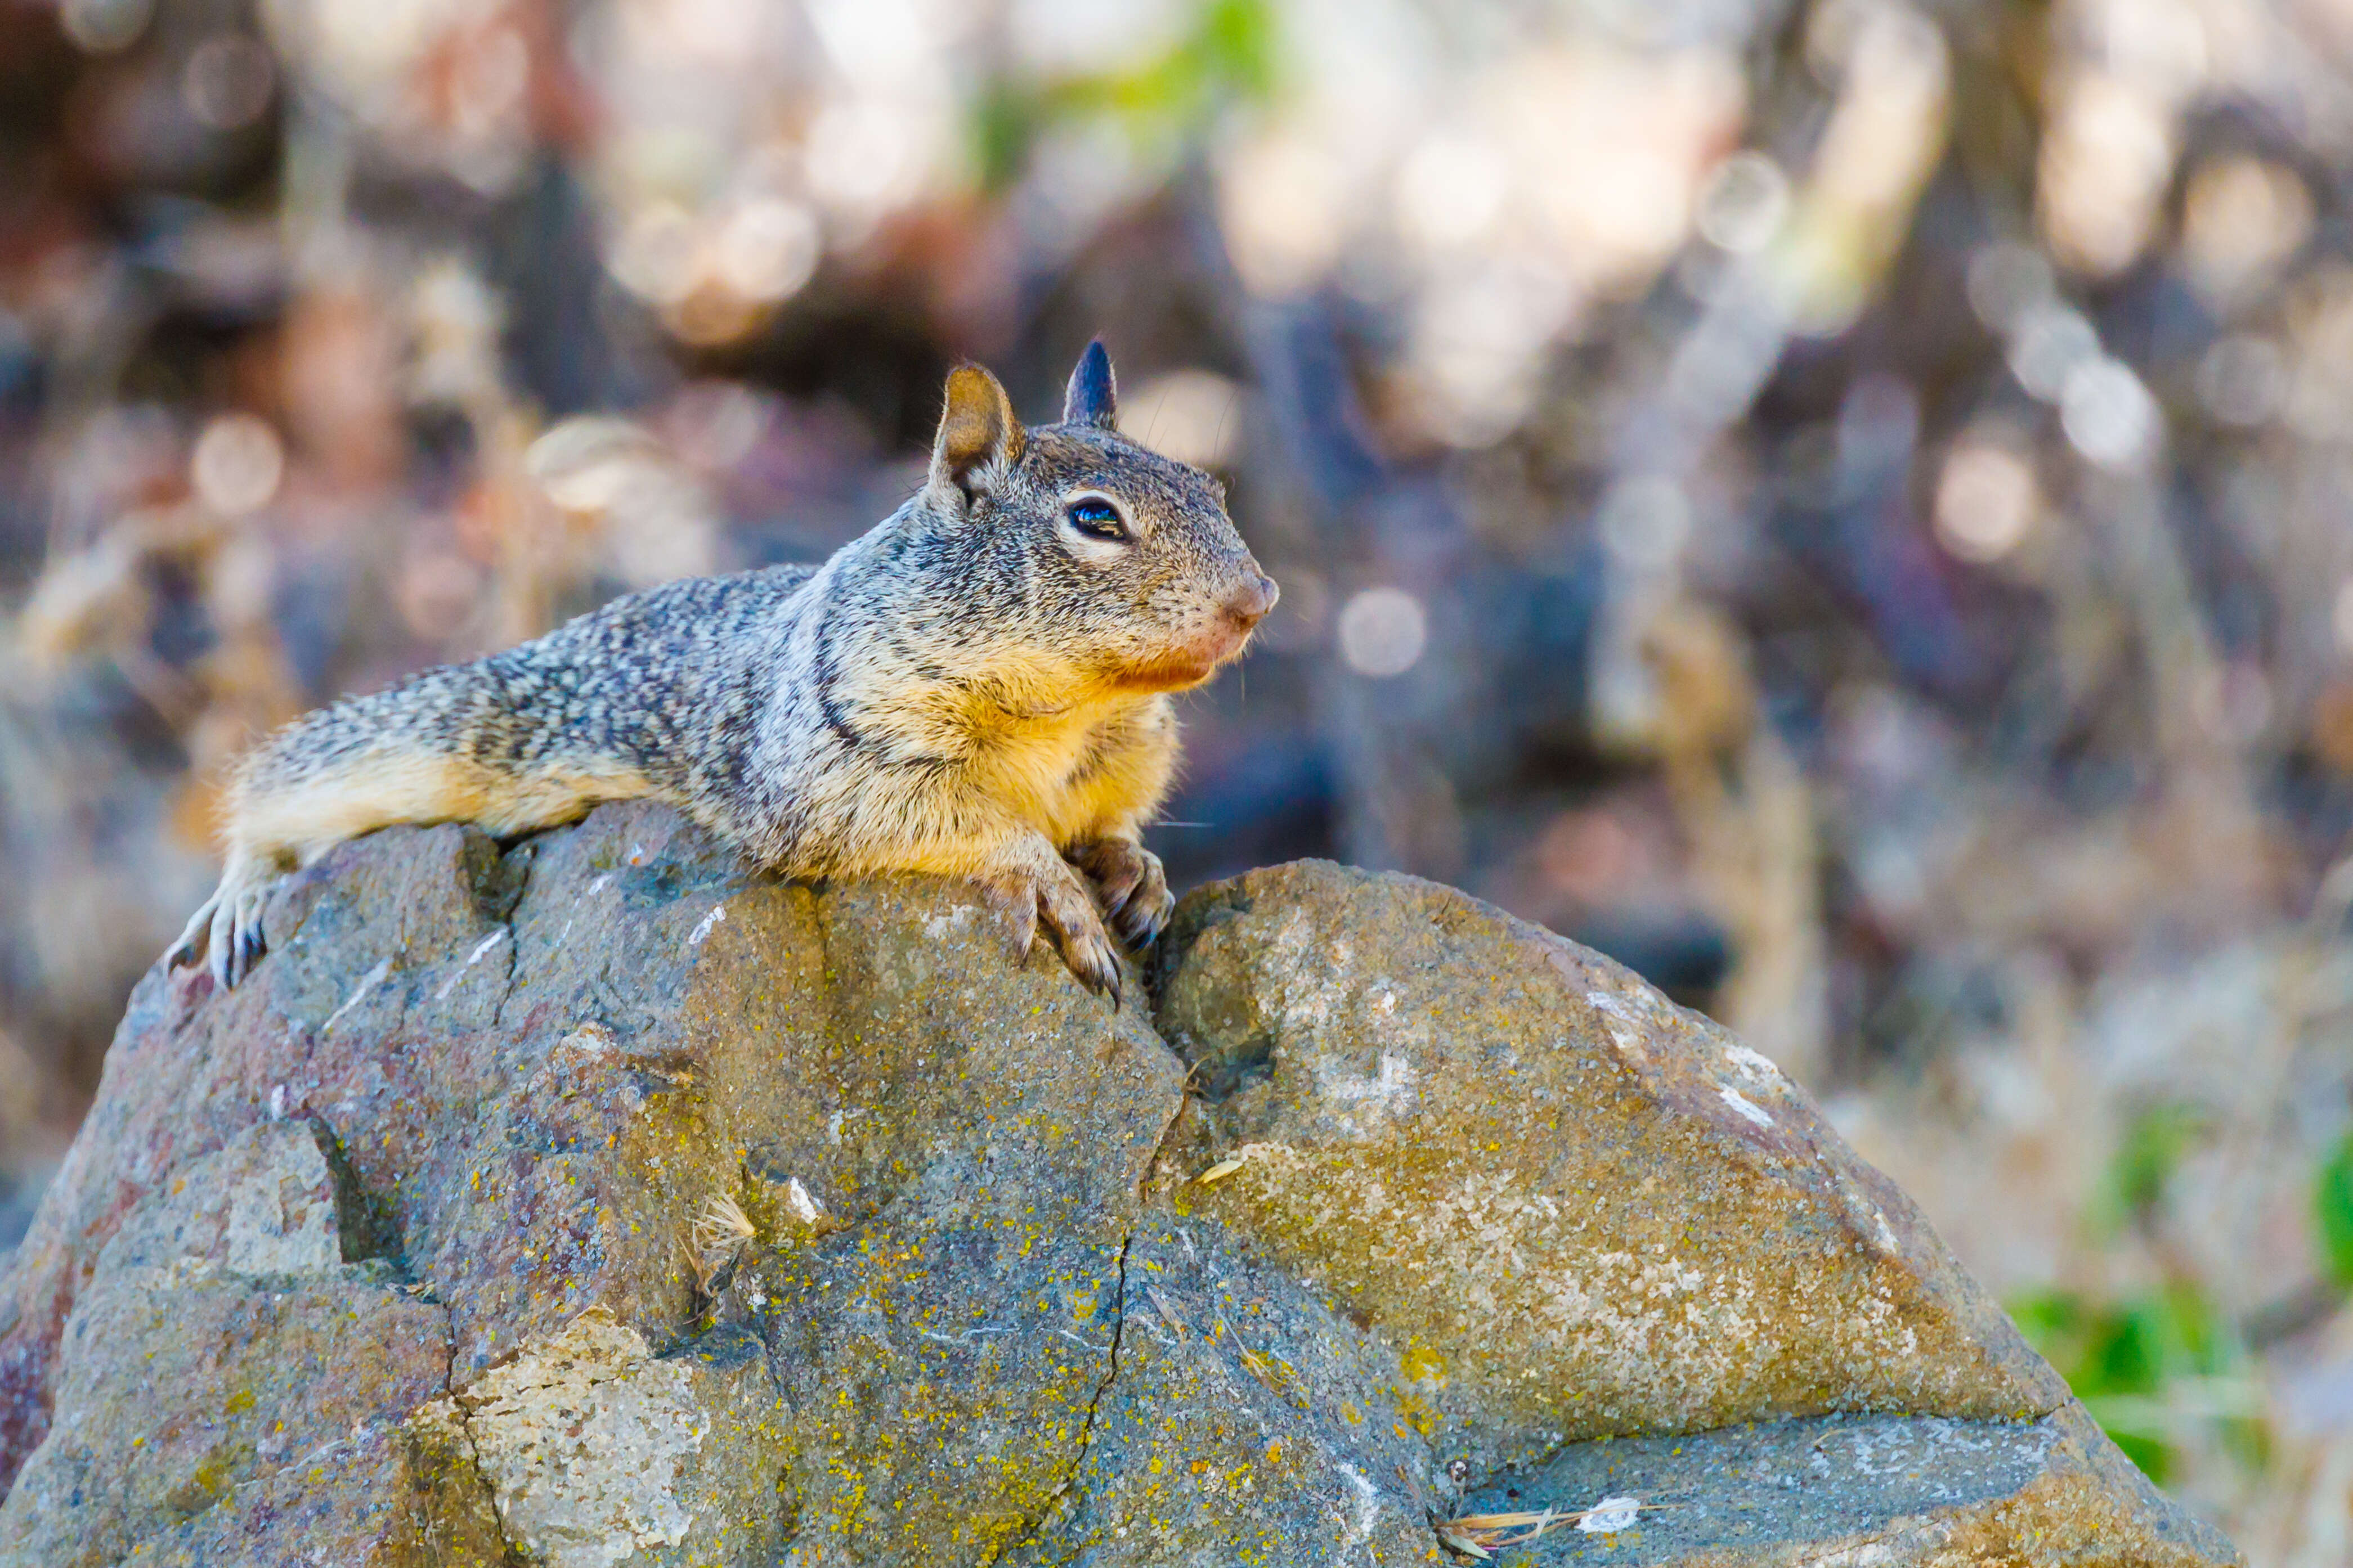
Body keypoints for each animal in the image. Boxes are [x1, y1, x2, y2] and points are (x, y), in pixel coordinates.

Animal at [168, 343, 1280, 1006]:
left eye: (1210, 484)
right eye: (1094, 518)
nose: (1258, 598)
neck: (1072, 707)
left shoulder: (1123, 756)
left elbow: (1113, 819)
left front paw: (1134, 865)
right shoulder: (831, 762)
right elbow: (956, 823)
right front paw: (1051, 882)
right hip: (447, 737)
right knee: (283, 786)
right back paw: (237, 900)